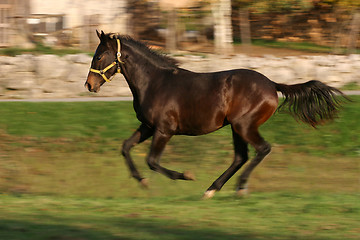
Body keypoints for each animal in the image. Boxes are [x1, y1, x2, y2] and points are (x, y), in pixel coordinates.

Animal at [84, 30, 346, 199]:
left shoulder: (164, 130)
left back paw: (239, 187)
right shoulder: (148, 126)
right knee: (241, 156)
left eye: (99, 56)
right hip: (236, 128)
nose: (89, 85)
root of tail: (272, 84)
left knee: (262, 149)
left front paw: (186, 175)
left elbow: (152, 161)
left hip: (244, 125)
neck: (155, 82)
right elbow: (126, 147)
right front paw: (142, 181)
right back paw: (212, 189)